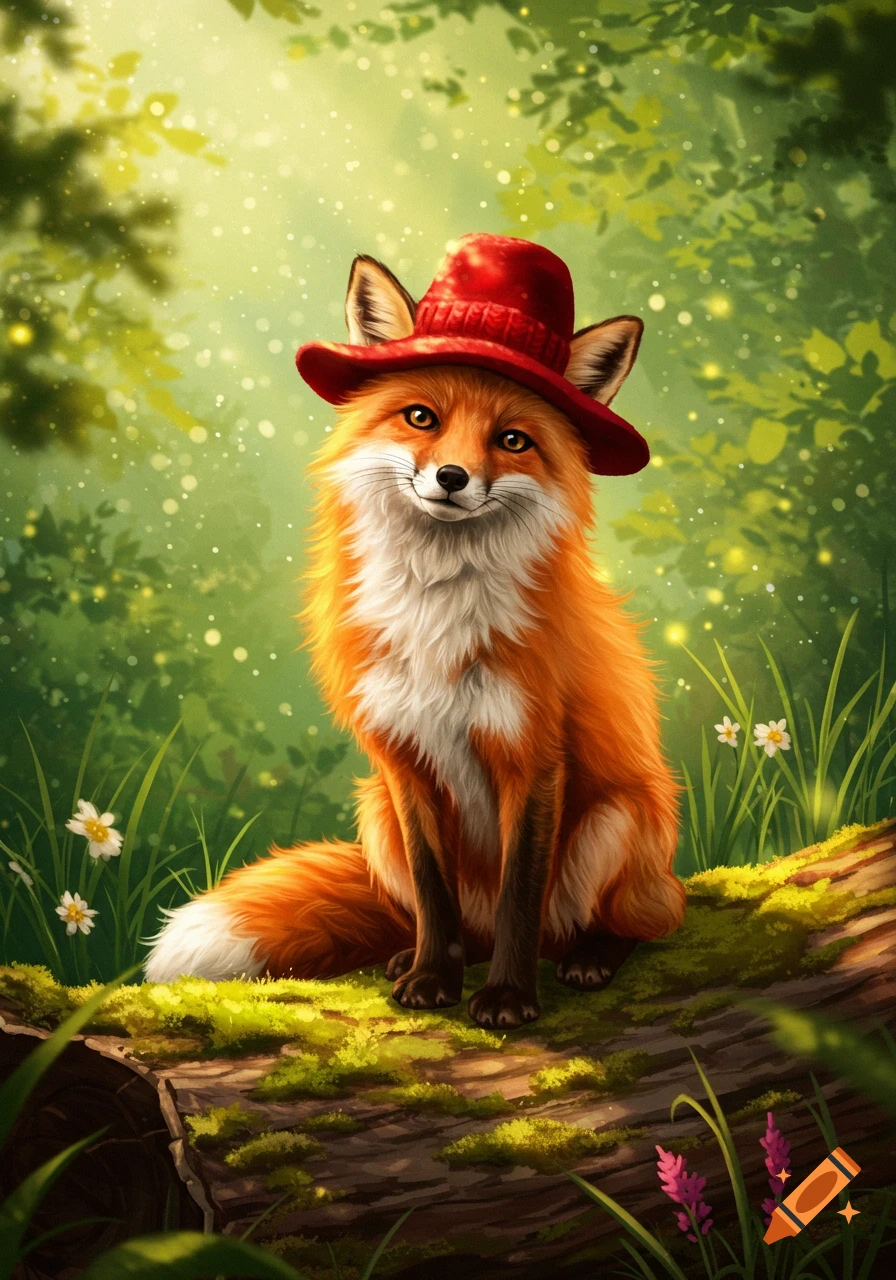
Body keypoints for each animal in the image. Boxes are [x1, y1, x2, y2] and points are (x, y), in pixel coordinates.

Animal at [145, 234, 686, 1028]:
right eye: (421, 418)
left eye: (512, 439)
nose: (453, 477)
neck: (437, 612)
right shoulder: (403, 759)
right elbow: (433, 898)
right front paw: (433, 979)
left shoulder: (533, 758)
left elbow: (522, 898)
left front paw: (507, 998)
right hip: (375, 816)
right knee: (458, 923)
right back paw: (419, 958)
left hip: (613, 821)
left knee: (638, 920)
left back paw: (590, 956)